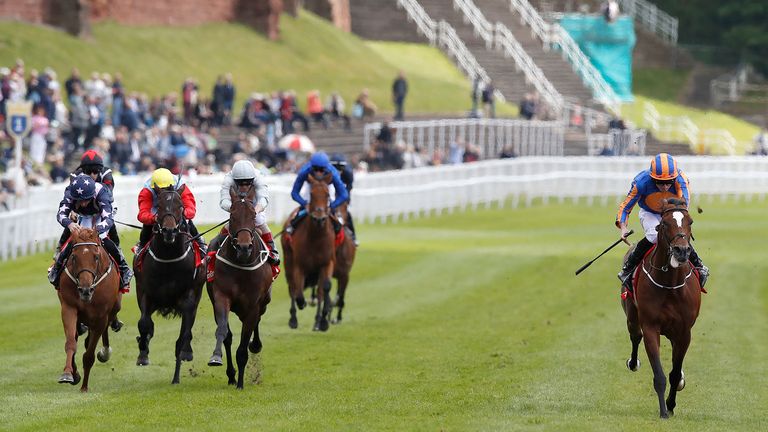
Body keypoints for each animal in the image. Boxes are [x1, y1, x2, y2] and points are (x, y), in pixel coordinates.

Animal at [57, 228, 120, 394]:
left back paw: (105, 351)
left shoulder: (101, 317)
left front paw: (84, 387)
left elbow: (89, 355)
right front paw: (68, 374)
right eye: (73, 257)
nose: (85, 290)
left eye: (96, 257)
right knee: (78, 335)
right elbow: (71, 342)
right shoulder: (69, 307)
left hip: (114, 308)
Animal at [133, 187, 206, 384]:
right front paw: (143, 353)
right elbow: (144, 323)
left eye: (180, 206)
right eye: (159, 206)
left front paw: (177, 374)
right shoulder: (145, 292)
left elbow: (183, 335)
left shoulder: (189, 297)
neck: (168, 259)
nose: (169, 231)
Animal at [207, 186, 272, 388]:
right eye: (232, 215)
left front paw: (241, 383)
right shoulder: (220, 297)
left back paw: (255, 345)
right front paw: (217, 359)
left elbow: (243, 347)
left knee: (258, 320)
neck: (241, 264)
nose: (244, 247)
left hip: (264, 301)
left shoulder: (252, 306)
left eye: (253, 215)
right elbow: (223, 332)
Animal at [280, 171, 332, 330]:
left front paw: (322, 321)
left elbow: (325, 288)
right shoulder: (299, 265)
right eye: (312, 194)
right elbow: (298, 292)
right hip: (288, 260)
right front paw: (301, 304)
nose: (319, 218)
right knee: (292, 286)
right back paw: (293, 319)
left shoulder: (327, 263)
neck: (316, 237)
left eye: (327, 194)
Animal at [620, 199, 704, 418]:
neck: (670, 283)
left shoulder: (684, 331)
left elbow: (674, 373)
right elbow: (659, 374)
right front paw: (664, 411)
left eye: (690, 221)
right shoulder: (651, 327)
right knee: (635, 336)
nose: (682, 251)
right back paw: (633, 362)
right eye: (664, 224)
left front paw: (671, 405)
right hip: (631, 315)